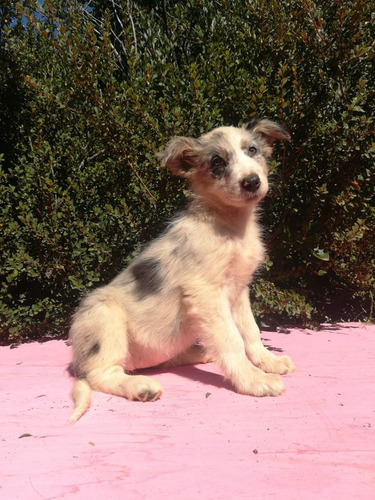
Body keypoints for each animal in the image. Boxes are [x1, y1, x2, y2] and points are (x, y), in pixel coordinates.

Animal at [68, 118, 296, 422]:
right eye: (216, 162)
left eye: (252, 150)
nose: (252, 182)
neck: (229, 226)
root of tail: (77, 361)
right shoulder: (207, 293)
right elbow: (231, 339)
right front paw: (253, 380)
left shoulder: (239, 290)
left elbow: (251, 332)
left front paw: (268, 362)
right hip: (105, 317)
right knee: (99, 374)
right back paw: (140, 387)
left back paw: (199, 353)